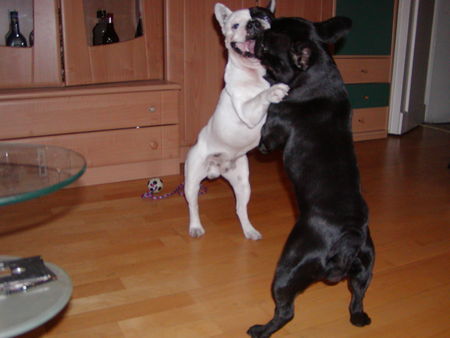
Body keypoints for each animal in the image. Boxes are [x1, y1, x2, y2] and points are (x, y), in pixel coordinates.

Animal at [184, 1, 286, 240]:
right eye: (235, 25)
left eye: (265, 17)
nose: (253, 24)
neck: (258, 71)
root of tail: (217, 170)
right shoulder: (247, 110)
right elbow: (259, 97)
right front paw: (273, 91)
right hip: (192, 180)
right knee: (194, 205)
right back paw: (195, 226)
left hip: (242, 183)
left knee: (240, 208)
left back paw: (249, 230)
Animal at [248, 16, 374, 338]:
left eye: (270, 41)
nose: (259, 27)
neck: (318, 76)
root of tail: (347, 238)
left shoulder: (268, 139)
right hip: (365, 268)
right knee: (357, 297)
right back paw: (359, 318)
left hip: (288, 268)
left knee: (285, 311)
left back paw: (260, 330)